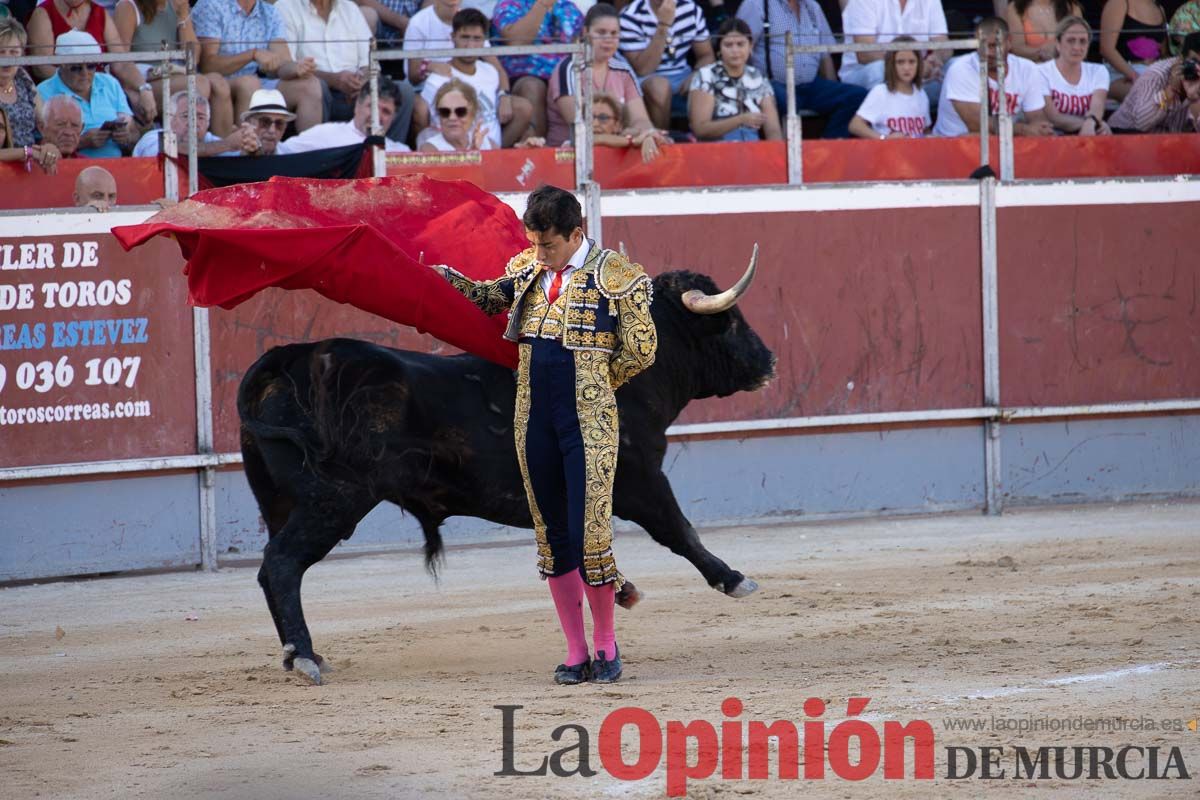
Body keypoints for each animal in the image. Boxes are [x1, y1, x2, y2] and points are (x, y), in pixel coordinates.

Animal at [237, 267, 777, 681]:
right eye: (730, 322)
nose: (769, 360)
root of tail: (289, 357)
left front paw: (623, 590)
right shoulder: (640, 481)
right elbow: (679, 531)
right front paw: (734, 579)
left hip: (280, 500)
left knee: (273, 570)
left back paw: (301, 653)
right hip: (334, 498)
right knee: (282, 564)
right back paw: (305, 658)